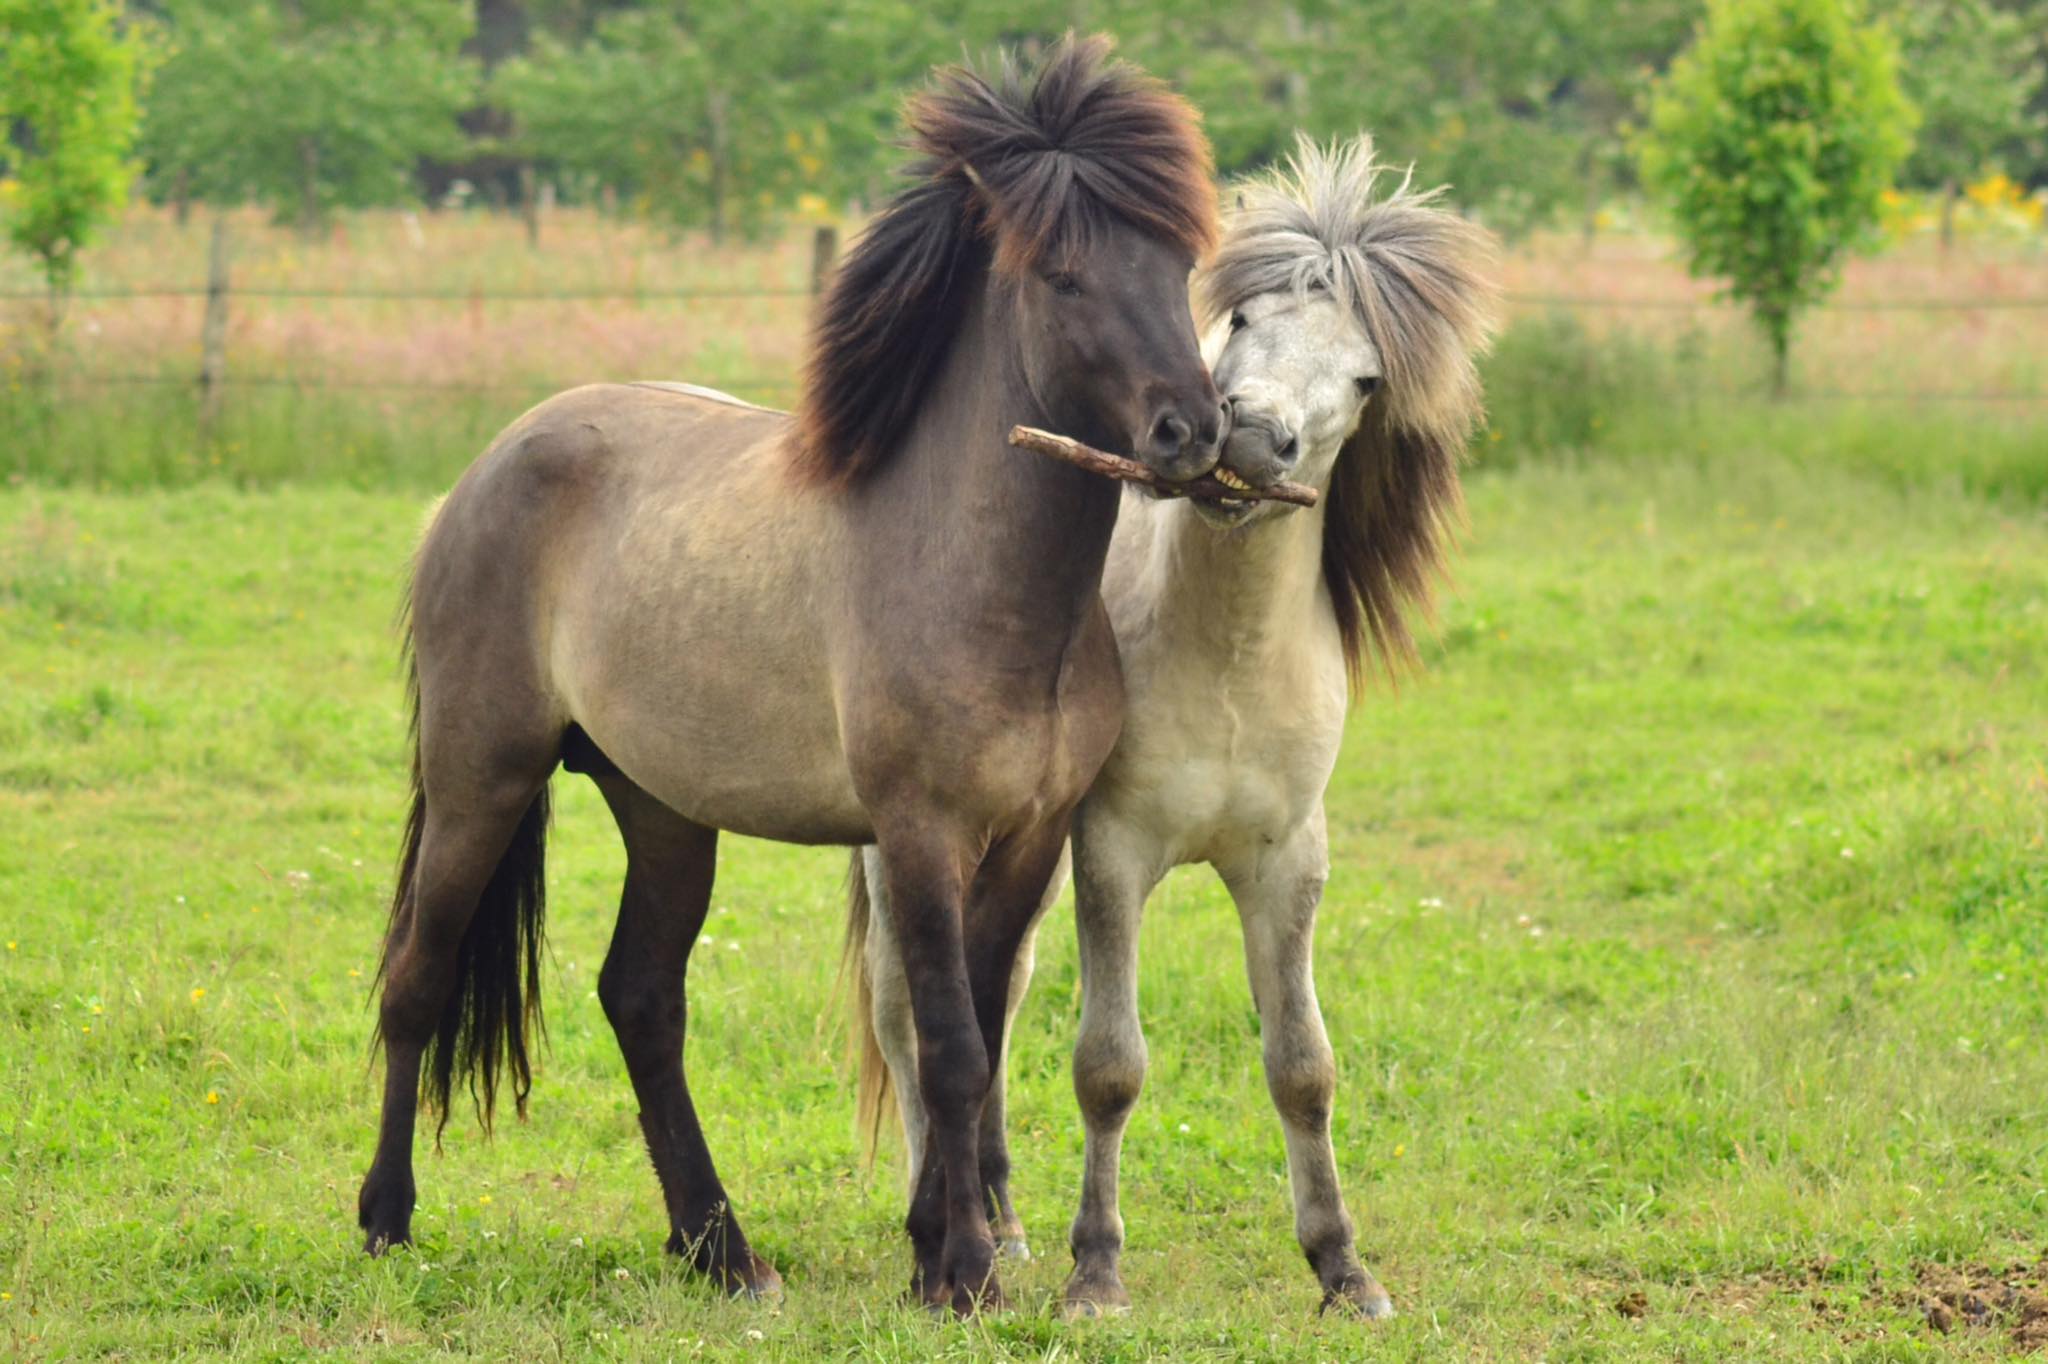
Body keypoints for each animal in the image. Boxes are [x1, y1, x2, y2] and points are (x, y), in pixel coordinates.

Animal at [354, 34, 1220, 1310]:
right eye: (1063, 276)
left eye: (1178, 260)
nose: (1192, 432)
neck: (977, 578)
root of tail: (488, 466)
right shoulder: (918, 832)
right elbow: (950, 1045)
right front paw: (964, 1269)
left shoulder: (1028, 837)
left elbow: (974, 1038)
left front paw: (933, 1246)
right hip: (482, 775)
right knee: (419, 972)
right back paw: (385, 1216)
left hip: (660, 807)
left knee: (640, 997)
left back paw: (719, 1245)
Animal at [839, 133, 1499, 1310]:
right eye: (1239, 319)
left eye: (1366, 379)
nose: (1254, 437)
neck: (1222, 660)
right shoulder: (1112, 850)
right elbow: (1108, 1065)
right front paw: (1095, 1269)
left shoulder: (1286, 862)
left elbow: (1302, 1064)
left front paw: (1342, 1266)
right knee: (908, 1017)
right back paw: (947, 1223)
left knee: (998, 999)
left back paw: (1001, 1219)